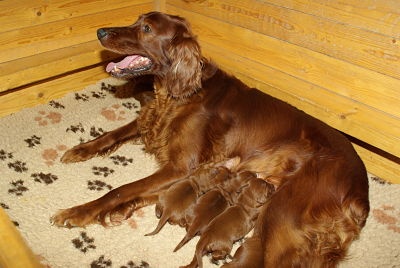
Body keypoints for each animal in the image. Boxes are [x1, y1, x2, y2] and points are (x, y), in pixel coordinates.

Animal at [51, 11, 370, 266]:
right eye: (135, 21)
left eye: (147, 29)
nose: (100, 32)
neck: (180, 92)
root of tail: (360, 193)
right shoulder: (158, 132)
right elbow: (114, 134)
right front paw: (80, 150)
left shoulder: (181, 167)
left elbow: (118, 190)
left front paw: (77, 211)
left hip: (282, 216)